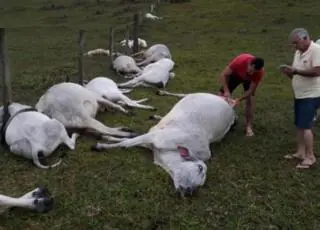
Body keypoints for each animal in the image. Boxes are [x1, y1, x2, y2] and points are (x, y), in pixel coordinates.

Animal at [91, 92, 236, 196]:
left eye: (201, 185)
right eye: (200, 168)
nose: (190, 192)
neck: (163, 154)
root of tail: (229, 105)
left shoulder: (152, 139)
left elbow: (130, 141)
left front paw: (105, 139)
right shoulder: (156, 137)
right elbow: (128, 142)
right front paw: (102, 144)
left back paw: (156, 115)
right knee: (182, 94)